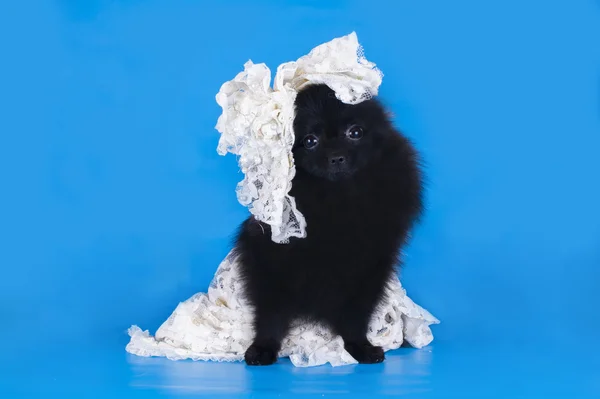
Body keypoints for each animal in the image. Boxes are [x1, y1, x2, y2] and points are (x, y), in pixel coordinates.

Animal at [232, 83, 424, 366]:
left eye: (355, 132)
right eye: (310, 141)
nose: (336, 156)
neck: (338, 200)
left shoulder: (368, 270)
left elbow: (356, 317)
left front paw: (360, 347)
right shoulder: (270, 263)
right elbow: (270, 313)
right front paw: (263, 347)